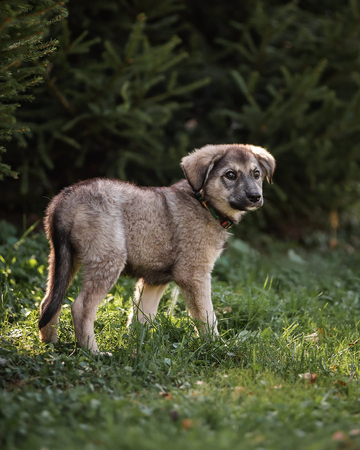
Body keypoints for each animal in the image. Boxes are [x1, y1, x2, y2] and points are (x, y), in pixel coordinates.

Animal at [38, 143, 276, 352]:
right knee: (80, 308)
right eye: (230, 175)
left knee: (49, 302)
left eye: (256, 174)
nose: (255, 197)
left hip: (63, 259)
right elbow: (208, 317)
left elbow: (142, 317)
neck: (204, 203)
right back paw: (92, 352)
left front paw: (138, 346)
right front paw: (218, 346)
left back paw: (50, 344)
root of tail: (66, 198)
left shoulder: (154, 280)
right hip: (108, 258)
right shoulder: (194, 274)